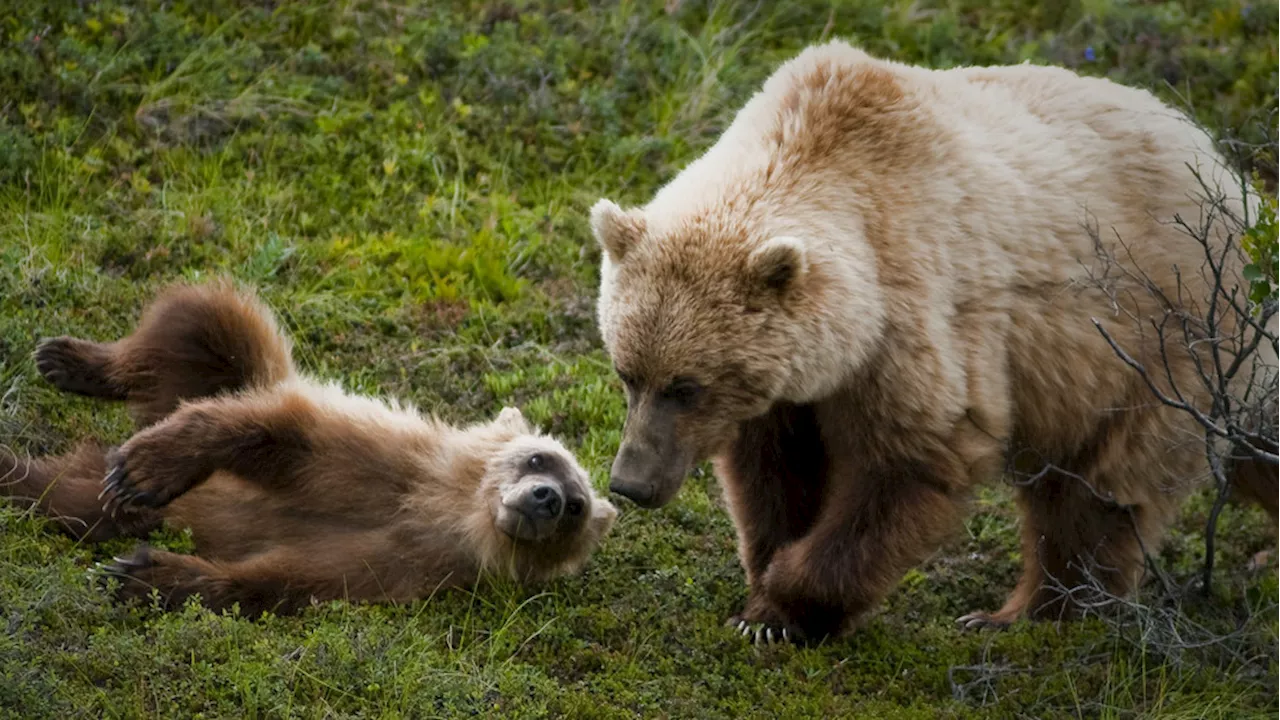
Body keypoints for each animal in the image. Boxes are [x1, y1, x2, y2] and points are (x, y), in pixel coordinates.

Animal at [0, 279, 619, 609]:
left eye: (577, 506)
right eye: (541, 457)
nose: (546, 498)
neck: (445, 509)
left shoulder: (409, 564)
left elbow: (289, 576)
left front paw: (144, 574)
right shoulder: (382, 460)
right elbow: (280, 437)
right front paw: (145, 470)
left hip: (97, 504)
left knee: (70, 500)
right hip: (237, 370)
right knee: (203, 318)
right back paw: (70, 362)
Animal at [591, 40, 1280, 645]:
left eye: (687, 387)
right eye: (627, 373)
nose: (629, 482)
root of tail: (1236, 184)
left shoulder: (911, 321)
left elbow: (912, 461)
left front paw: (785, 608)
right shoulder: (792, 384)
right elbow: (776, 471)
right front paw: (763, 592)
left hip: (1159, 345)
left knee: (1096, 491)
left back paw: (1028, 615)